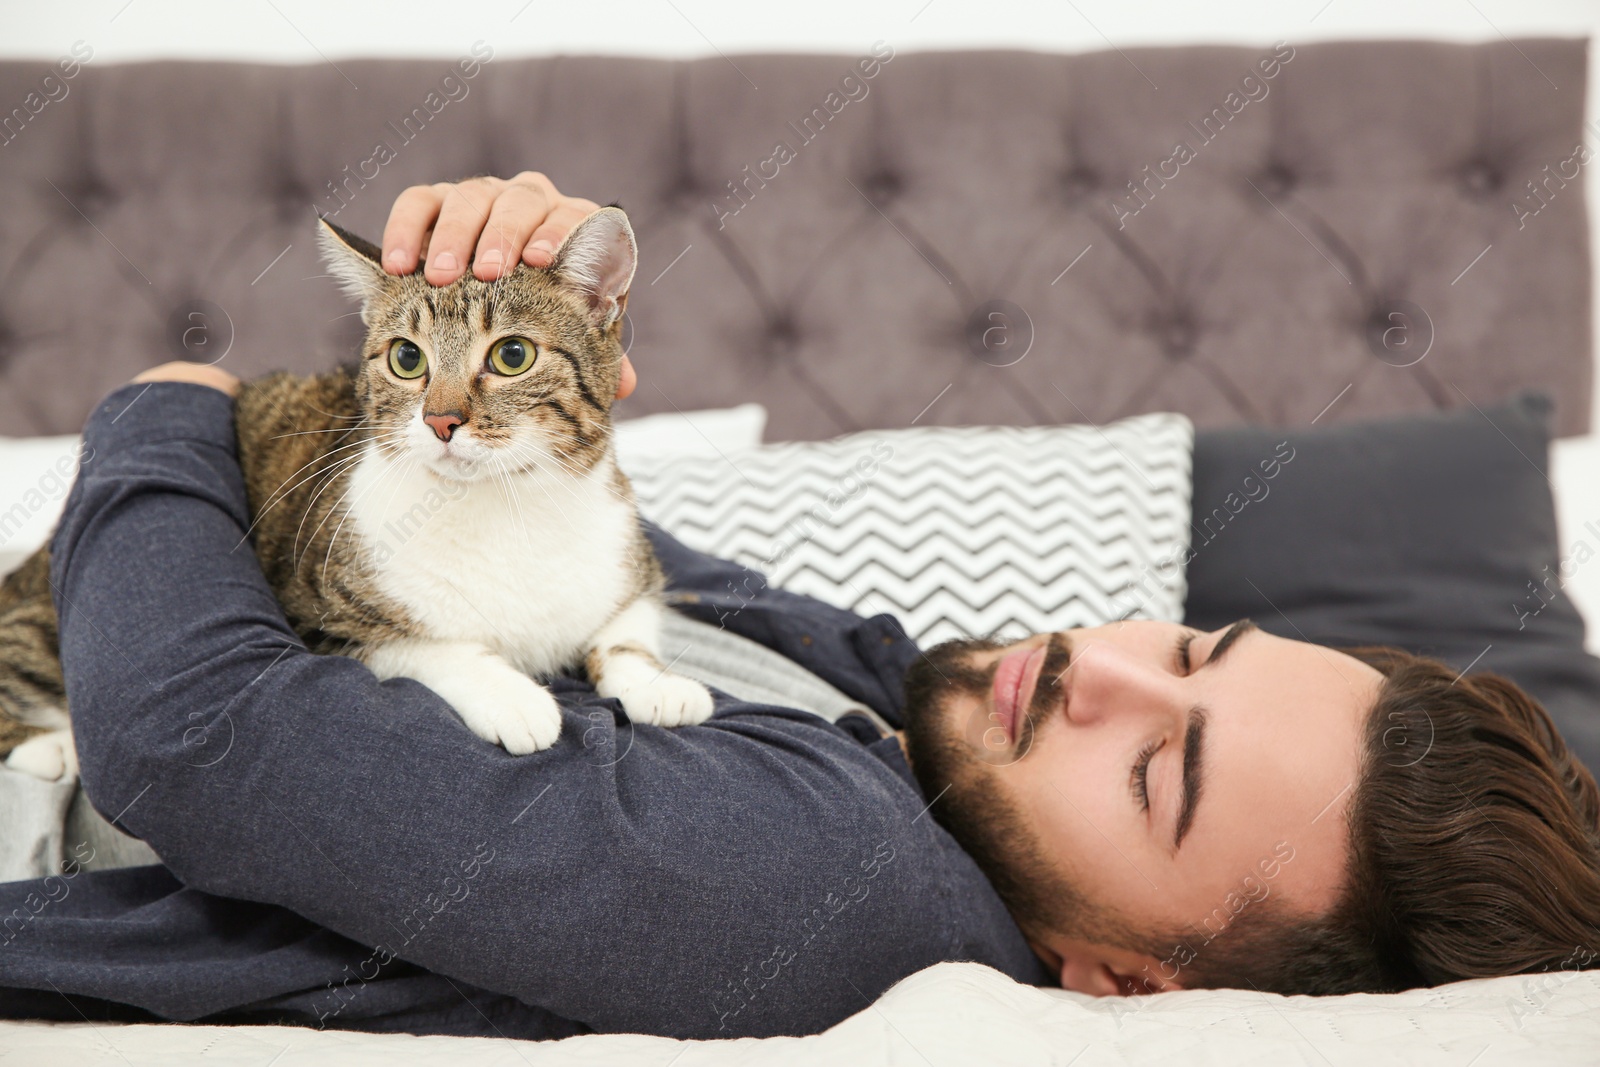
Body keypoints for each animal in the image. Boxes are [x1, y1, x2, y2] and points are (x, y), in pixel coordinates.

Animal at [0, 204, 713, 780]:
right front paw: (512, 696)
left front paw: (659, 684)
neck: (504, 506)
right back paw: (46, 747)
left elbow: (624, 629)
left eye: (513, 355)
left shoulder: (629, 560)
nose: (441, 420)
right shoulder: (319, 619)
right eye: (406, 358)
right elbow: (430, 648)